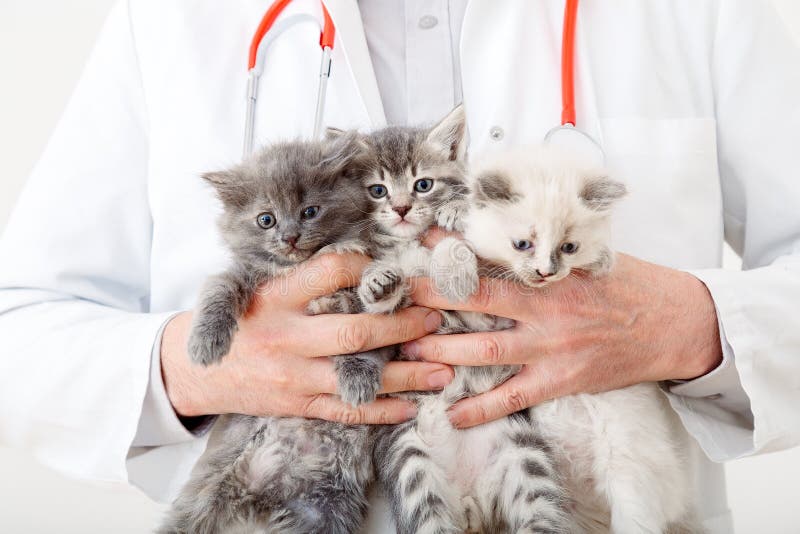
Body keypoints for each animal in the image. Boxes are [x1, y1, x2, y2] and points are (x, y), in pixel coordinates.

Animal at [160, 138, 388, 534]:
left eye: (310, 211)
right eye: (265, 219)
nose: (290, 237)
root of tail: (264, 492)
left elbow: (356, 325)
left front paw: (357, 378)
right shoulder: (242, 273)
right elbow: (219, 288)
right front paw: (206, 343)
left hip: (325, 513)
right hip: (204, 490)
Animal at [354, 107, 572, 532]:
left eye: (423, 185)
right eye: (378, 190)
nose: (401, 209)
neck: (413, 242)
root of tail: (473, 498)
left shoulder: (494, 312)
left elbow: (461, 246)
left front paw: (455, 223)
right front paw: (378, 281)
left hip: (527, 457)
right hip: (410, 463)